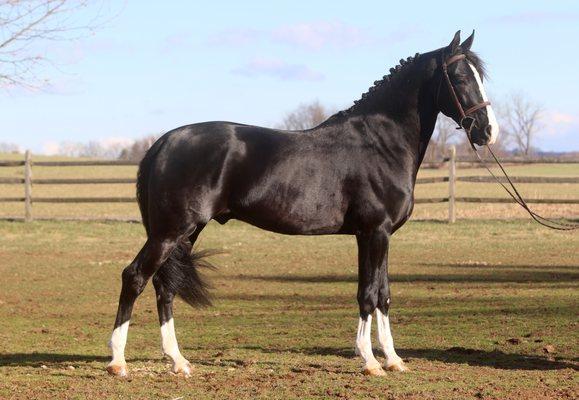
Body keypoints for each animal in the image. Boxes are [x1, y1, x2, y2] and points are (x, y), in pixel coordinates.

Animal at [107, 31, 498, 378]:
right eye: (460, 77)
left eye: (480, 76)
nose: (487, 131)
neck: (380, 142)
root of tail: (163, 144)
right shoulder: (375, 232)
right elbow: (368, 294)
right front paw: (370, 362)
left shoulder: (374, 235)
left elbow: (382, 294)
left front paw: (393, 360)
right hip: (169, 232)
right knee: (135, 277)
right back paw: (119, 363)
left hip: (186, 233)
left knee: (165, 286)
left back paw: (178, 362)